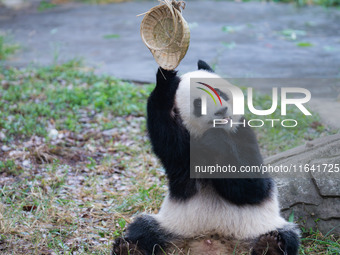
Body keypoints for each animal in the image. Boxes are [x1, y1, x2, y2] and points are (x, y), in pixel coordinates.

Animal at [112, 60, 300, 255]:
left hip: (258, 227)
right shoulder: (182, 152)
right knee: (143, 228)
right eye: (198, 104)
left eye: (221, 92)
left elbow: (253, 187)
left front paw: (216, 139)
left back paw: (270, 246)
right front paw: (165, 79)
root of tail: (211, 242)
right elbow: (165, 134)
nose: (222, 111)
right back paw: (129, 248)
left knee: (287, 235)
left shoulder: (243, 133)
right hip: (172, 225)